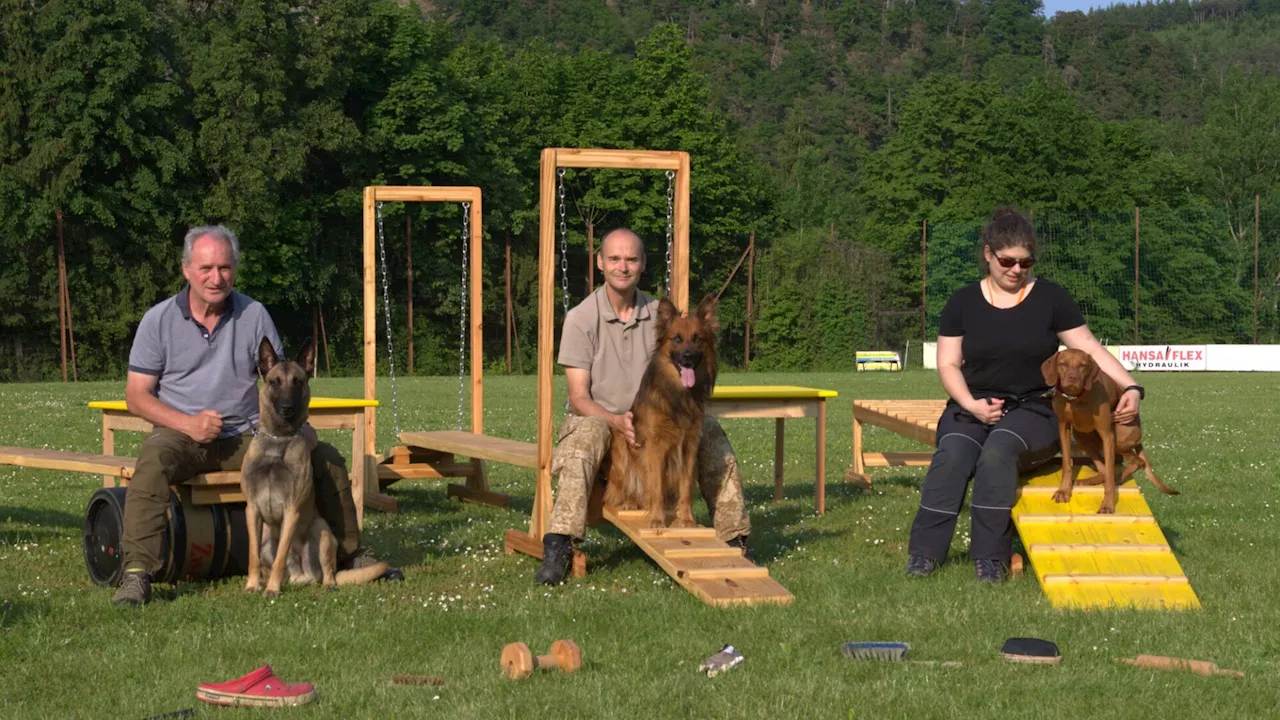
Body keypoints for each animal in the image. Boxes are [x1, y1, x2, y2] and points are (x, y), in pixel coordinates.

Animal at [240, 335, 384, 594]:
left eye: (297, 382)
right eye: (275, 382)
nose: (287, 408)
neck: (278, 439)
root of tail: (302, 576)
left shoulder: (291, 510)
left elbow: (281, 556)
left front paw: (272, 589)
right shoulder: (252, 509)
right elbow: (253, 557)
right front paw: (253, 585)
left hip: (322, 531)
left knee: (329, 571)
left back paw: (326, 584)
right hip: (267, 539)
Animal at [601, 292, 716, 527]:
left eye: (697, 339)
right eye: (677, 339)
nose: (688, 357)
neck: (679, 395)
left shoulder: (689, 447)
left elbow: (685, 487)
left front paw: (687, 520)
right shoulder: (655, 447)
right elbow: (655, 486)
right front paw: (656, 520)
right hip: (622, 450)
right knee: (627, 488)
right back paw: (630, 502)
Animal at [1039, 345, 1177, 509]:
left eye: (1083, 366)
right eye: (1062, 364)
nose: (1073, 378)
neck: (1075, 398)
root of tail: (1140, 433)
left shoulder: (1107, 434)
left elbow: (1110, 473)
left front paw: (1108, 504)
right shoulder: (1064, 428)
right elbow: (1066, 463)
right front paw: (1064, 491)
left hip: (1118, 438)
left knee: (1136, 462)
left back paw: (1117, 478)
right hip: (1081, 436)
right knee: (1104, 470)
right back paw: (1088, 481)